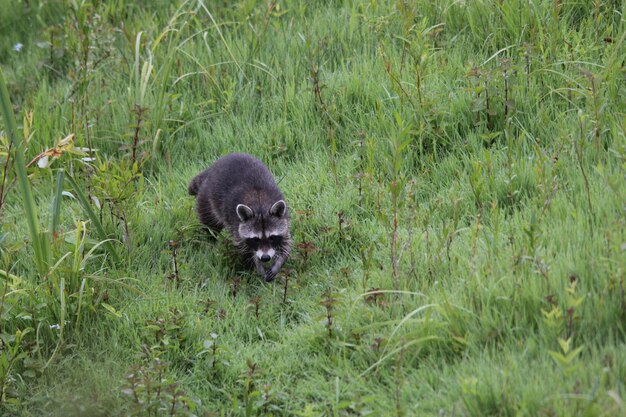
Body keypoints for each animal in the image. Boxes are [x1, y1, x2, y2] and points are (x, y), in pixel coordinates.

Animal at [188, 151, 290, 282]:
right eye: (255, 239)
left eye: (272, 237)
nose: (265, 258)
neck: (260, 206)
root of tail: (212, 168)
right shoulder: (236, 223)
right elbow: (245, 249)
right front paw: (257, 265)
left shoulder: (283, 218)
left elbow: (286, 244)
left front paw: (279, 262)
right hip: (206, 200)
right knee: (210, 226)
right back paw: (210, 241)